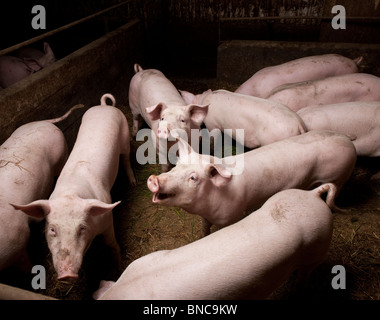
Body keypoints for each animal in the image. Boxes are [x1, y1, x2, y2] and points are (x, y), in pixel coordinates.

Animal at [11, 94, 137, 282]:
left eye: (81, 228)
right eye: (52, 229)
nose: (66, 274)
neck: (70, 194)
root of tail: (103, 106)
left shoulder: (108, 220)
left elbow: (111, 243)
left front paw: (118, 265)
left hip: (124, 136)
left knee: (126, 158)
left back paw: (133, 182)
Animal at [146, 130, 356, 235]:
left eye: (193, 177)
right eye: (176, 166)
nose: (154, 179)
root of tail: (346, 138)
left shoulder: (232, 216)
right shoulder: (205, 216)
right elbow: (204, 229)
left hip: (340, 176)